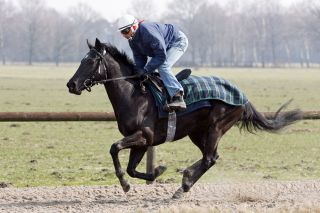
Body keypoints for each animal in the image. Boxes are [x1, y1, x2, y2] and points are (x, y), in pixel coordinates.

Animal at [66, 38, 302, 198]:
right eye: (82, 60)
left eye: (91, 61)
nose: (71, 84)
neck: (134, 95)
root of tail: (243, 96)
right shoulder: (143, 141)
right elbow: (132, 169)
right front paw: (156, 171)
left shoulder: (144, 135)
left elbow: (114, 148)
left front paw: (125, 183)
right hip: (197, 132)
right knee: (212, 157)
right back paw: (185, 181)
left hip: (216, 126)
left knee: (209, 158)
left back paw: (185, 183)